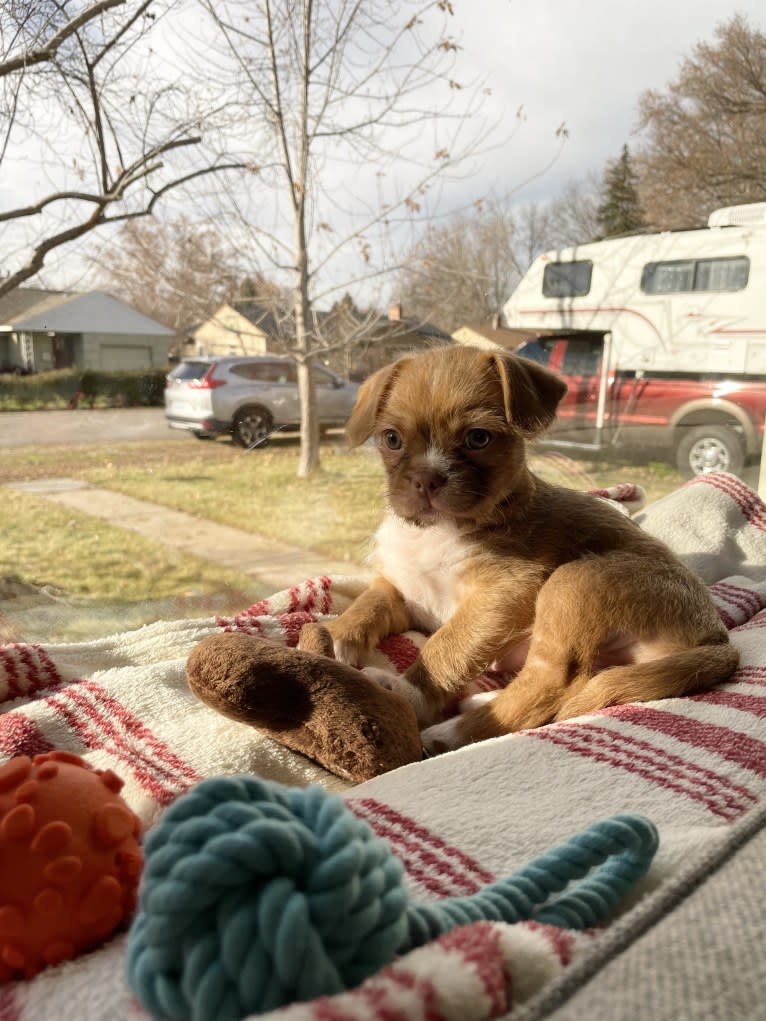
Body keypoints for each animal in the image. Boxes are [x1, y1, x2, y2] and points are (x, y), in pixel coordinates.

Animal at [326, 343, 739, 751]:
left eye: (478, 438)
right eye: (392, 439)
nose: (427, 478)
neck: (436, 533)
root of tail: (717, 637)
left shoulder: (501, 595)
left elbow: (447, 647)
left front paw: (411, 692)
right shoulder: (401, 590)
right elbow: (369, 603)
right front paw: (338, 635)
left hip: (572, 581)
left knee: (553, 682)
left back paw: (449, 731)